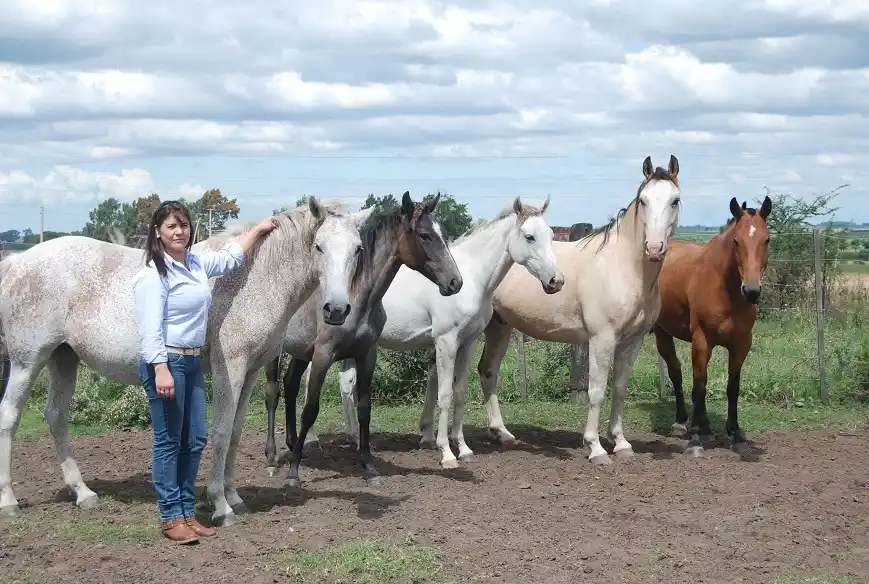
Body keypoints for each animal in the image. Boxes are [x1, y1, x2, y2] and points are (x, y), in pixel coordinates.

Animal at [0, 199, 372, 526]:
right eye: (319, 246)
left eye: (357, 249)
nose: (336, 310)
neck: (253, 278)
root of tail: (17, 262)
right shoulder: (229, 369)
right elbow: (220, 432)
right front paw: (221, 506)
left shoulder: (251, 372)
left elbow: (235, 433)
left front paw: (234, 496)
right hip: (27, 361)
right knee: (10, 417)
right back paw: (9, 501)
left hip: (63, 359)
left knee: (56, 417)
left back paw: (83, 493)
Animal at [262, 191, 464, 488]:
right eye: (425, 235)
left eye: (444, 233)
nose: (455, 282)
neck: (356, 298)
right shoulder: (323, 356)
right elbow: (310, 409)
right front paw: (293, 473)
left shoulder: (367, 354)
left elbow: (364, 408)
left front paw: (368, 464)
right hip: (275, 352)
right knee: (273, 393)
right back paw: (273, 458)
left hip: (300, 352)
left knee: (290, 385)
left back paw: (292, 443)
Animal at [322, 196, 565, 470]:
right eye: (529, 236)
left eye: (551, 234)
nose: (556, 281)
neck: (473, 279)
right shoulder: (446, 341)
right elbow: (445, 393)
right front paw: (446, 452)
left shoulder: (468, 342)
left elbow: (459, 392)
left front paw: (464, 449)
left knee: (345, 385)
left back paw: (353, 437)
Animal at [475, 155, 682, 465]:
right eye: (643, 200)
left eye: (675, 200)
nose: (654, 248)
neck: (622, 268)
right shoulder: (601, 339)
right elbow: (597, 391)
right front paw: (595, 448)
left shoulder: (632, 342)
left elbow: (620, 389)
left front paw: (621, 443)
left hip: (499, 326)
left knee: (488, 371)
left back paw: (502, 433)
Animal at [653, 196, 772, 457]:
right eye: (737, 241)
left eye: (767, 240)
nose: (751, 291)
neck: (725, 289)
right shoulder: (701, 341)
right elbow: (699, 387)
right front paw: (695, 439)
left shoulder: (741, 344)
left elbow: (732, 387)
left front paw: (735, 434)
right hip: (662, 334)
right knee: (677, 373)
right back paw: (682, 423)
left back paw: (706, 427)